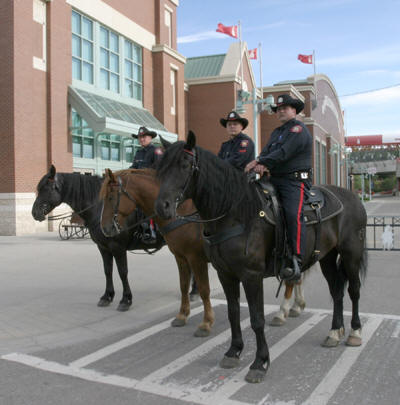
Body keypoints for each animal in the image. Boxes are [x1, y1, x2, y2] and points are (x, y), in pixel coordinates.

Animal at [30, 164, 163, 310]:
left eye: (45, 188)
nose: (34, 212)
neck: (101, 209)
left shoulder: (118, 247)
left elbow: (122, 272)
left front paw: (126, 299)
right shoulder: (103, 247)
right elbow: (107, 270)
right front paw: (107, 296)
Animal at [98, 169, 214, 336]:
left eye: (111, 197)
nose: (104, 228)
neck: (181, 213)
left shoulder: (196, 259)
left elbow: (204, 290)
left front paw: (206, 323)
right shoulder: (181, 257)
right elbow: (183, 285)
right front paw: (182, 315)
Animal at [155, 132, 368, 382]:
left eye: (185, 165)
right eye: (161, 168)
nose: (162, 207)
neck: (235, 213)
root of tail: (352, 197)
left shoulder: (251, 275)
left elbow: (257, 319)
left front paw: (260, 362)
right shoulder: (225, 274)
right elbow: (233, 313)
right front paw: (233, 351)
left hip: (351, 253)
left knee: (353, 290)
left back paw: (355, 331)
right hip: (326, 257)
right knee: (336, 291)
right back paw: (334, 332)